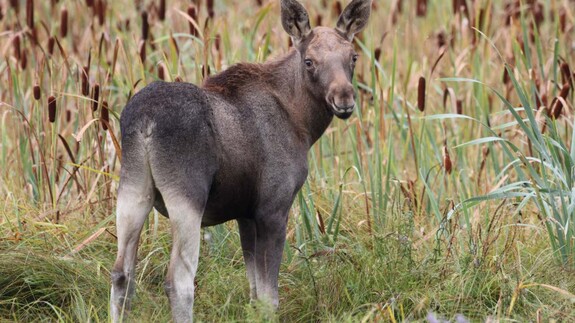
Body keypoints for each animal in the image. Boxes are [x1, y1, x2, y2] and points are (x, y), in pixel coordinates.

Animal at [111, 0, 374, 322]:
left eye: (353, 57)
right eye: (309, 61)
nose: (344, 98)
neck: (302, 123)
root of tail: (145, 122)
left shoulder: (245, 214)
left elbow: (253, 291)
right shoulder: (272, 208)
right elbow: (269, 295)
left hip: (132, 189)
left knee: (121, 274)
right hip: (186, 197)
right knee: (178, 281)